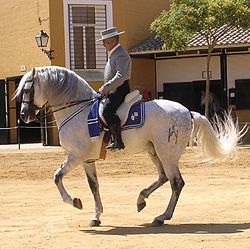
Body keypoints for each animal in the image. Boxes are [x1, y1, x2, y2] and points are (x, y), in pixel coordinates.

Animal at [15, 65, 246, 226]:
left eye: (27, 90)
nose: (24, 116)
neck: (78, 110)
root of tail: (187, 112)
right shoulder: (87, 159)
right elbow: (94, 186)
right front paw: (96, 216)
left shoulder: (76, 156)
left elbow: (57, 177)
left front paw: (75, 202)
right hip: (154, 152)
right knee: (163, 177)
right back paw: (141, 200)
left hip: (167, 153)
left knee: (176, 183)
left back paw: (162, 216)